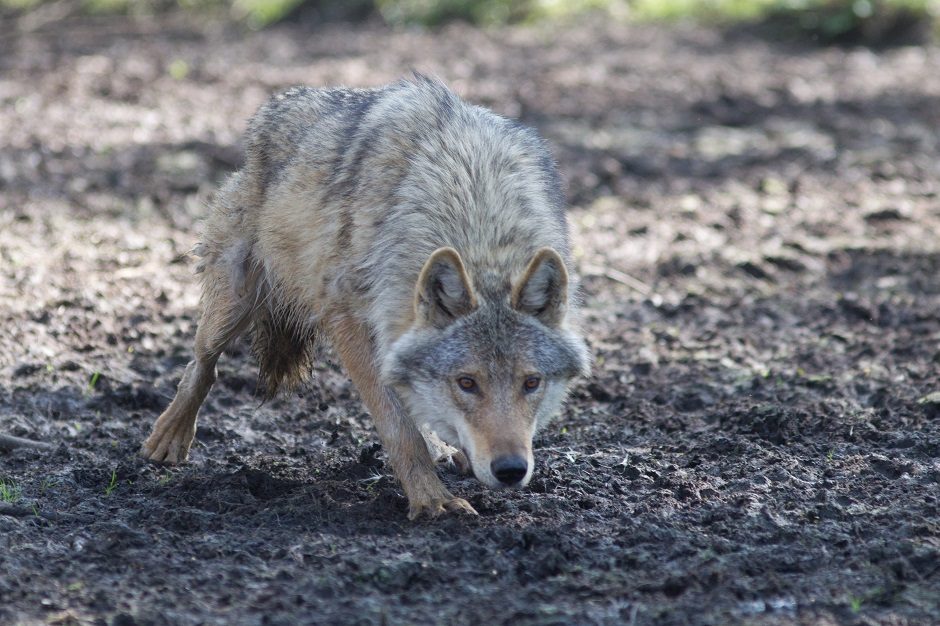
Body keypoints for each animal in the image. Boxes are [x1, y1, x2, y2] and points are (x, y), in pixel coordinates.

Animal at [141, 74, 588, 516]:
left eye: (531, 382)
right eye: (466, 382)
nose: (510, 469)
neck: (478, 221)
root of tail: (280, 103)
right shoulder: (347, 320)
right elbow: (398, 427)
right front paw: (432, 499)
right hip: (235, 304)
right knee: (202, 364)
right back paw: (168, 437)